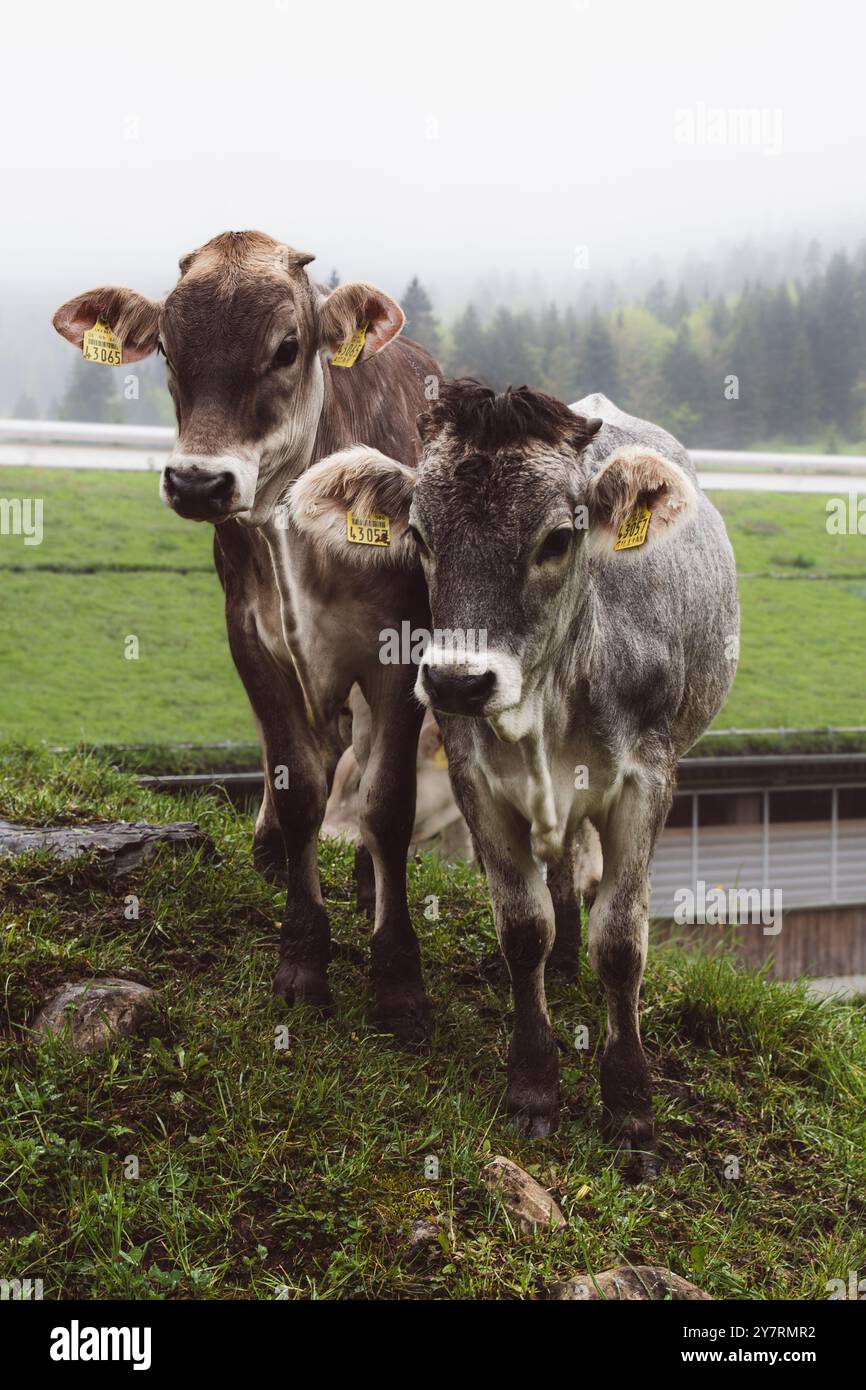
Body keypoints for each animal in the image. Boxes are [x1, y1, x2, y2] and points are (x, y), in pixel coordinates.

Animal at [294, 378, 739, 1162]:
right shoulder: (477, 783)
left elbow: (621, 942)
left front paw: (631, 1107)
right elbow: (523, 929)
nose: (458, 682)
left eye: (558, 538)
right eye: (420, 536)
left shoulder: (647, 782)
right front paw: (534, 1086)